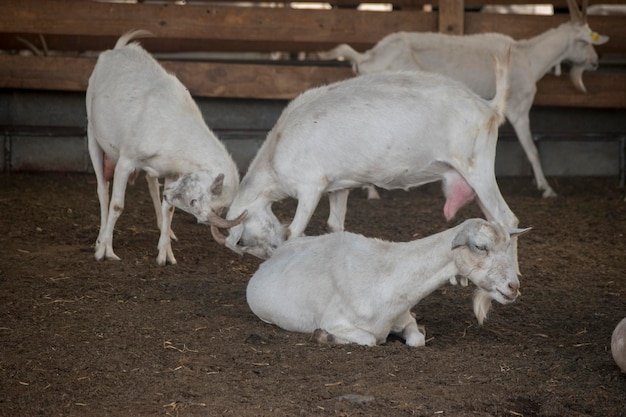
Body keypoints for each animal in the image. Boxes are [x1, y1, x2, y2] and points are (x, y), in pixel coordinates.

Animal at [86, 29, 243, 264]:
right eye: (194, 202)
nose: (170, 194)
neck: (174, 128)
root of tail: (116, 50)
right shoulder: (126, 160)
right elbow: (117, 205)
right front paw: (106, 251)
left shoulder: (172, 171)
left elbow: (168, 209)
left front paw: (165, 255)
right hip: (92, 134)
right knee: (102, 189)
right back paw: (99, 239)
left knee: (151, 182)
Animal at [217, 52, 516, 260]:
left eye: (243, 238)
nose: (268, 253)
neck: (276, 151)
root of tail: (489, 106)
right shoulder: (337, 186)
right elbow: (334, 225)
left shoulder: (310, 186)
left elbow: (294, 231)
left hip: (477, 167)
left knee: (507, 219)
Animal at [246, 216, 528, 346]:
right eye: (480, 246)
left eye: (508, 246)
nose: (513, 287)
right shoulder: (335, 320)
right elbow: (370, 340)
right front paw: (323, 337)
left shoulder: (406, 318)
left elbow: (417, 340)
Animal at [316, 0, 604, 198]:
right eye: (585, 41)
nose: (595, 63)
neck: (528, 57)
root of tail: (367, 57)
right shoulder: (518, 107)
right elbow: (531, 149)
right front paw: (546, 189)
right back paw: (372, 192)